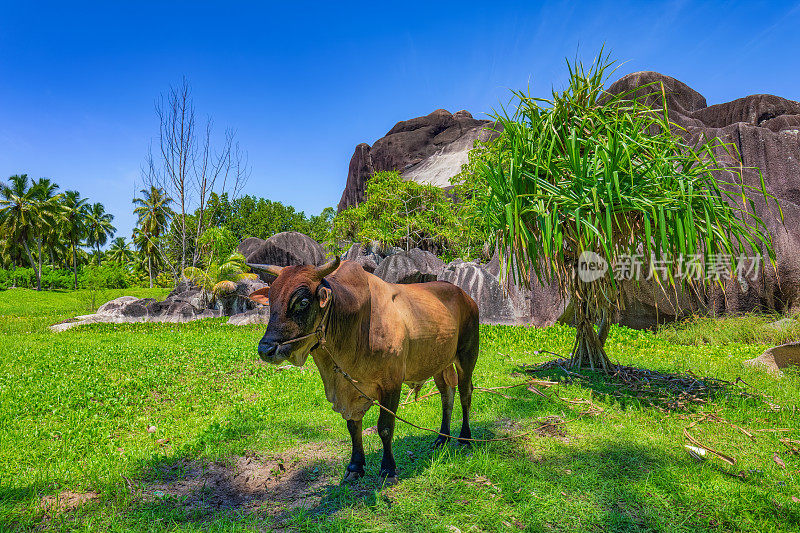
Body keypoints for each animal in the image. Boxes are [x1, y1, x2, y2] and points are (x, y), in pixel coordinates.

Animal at [250, 256, 478, 480]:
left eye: (303, 302)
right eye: (271, 300)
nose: (266, 349)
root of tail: (466, 296)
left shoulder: (392, 383)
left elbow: (385, 427)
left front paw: (388, 469)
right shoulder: (351, 389)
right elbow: (353, 426)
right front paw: (355, 466)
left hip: (467, 356)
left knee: (465, 394)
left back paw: (465, 438)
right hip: (440, 363)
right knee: (446, 394)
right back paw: (442, 438)